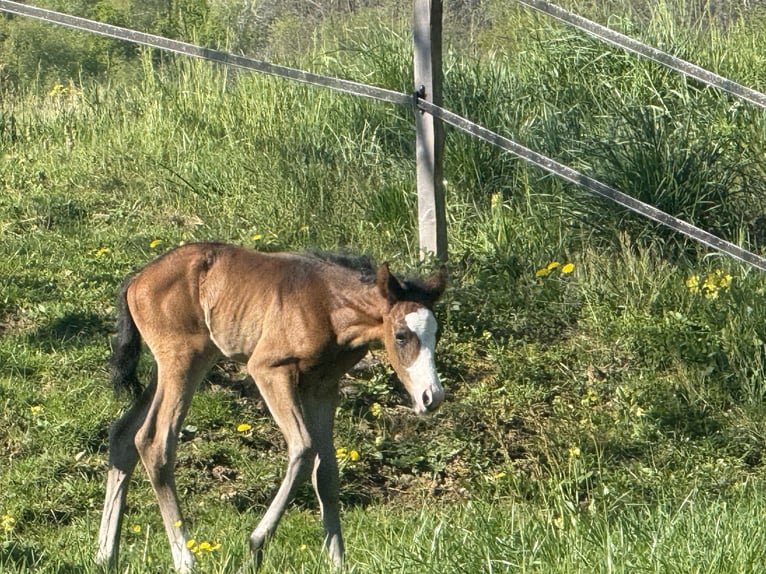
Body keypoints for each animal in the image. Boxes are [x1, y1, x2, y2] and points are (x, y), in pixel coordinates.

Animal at [95, 241, 447, 573]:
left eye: (437, 334)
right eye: (401, 335)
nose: (432, 396)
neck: (328, 305)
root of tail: (137, 280)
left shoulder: (322, 386)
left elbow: (327, 472)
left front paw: (337, 562)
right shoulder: (270, 369)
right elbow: (304, 448)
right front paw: (255, 548)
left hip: (181, 362)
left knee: (123, 435)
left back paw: (105, 555)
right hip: (183, 359)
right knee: (154, 442)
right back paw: (185, 559)